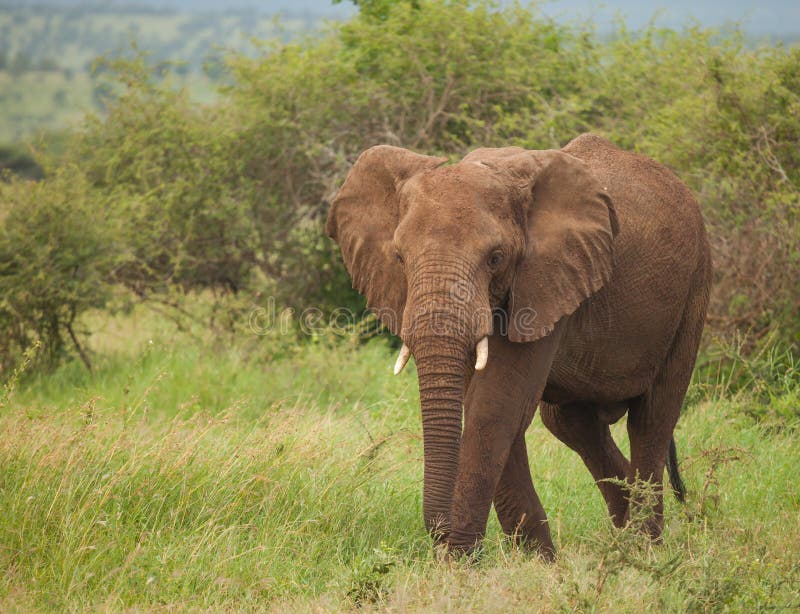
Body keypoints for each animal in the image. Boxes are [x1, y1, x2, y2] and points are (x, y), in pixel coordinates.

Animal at [324, 134, 712, 560]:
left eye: (496, 258)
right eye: (398, 257)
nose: (440, 535)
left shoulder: (545, 276)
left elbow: (495, 405)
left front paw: (462, 564)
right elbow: (490, 403)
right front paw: (537, 563)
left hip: (694, 287)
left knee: (652, 416)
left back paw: (644, 551)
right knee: (571, 423)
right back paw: (625, 534)